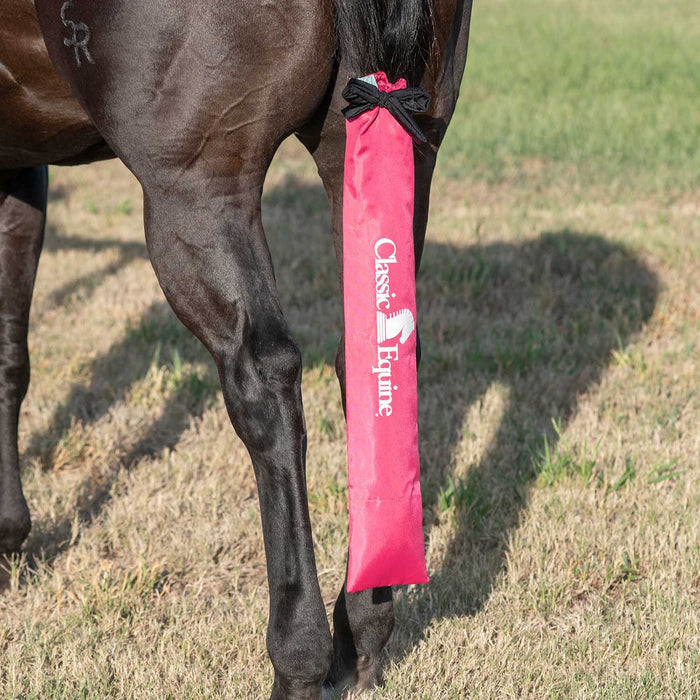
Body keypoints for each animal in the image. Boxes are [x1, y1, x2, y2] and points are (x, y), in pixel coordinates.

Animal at [0, 1, 473, 696]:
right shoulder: (16, 163)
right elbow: (12, 353)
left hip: (196, 191)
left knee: (264, 380)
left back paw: (298, 659)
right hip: (383, 152)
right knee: (373, 356)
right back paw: (363, 631)